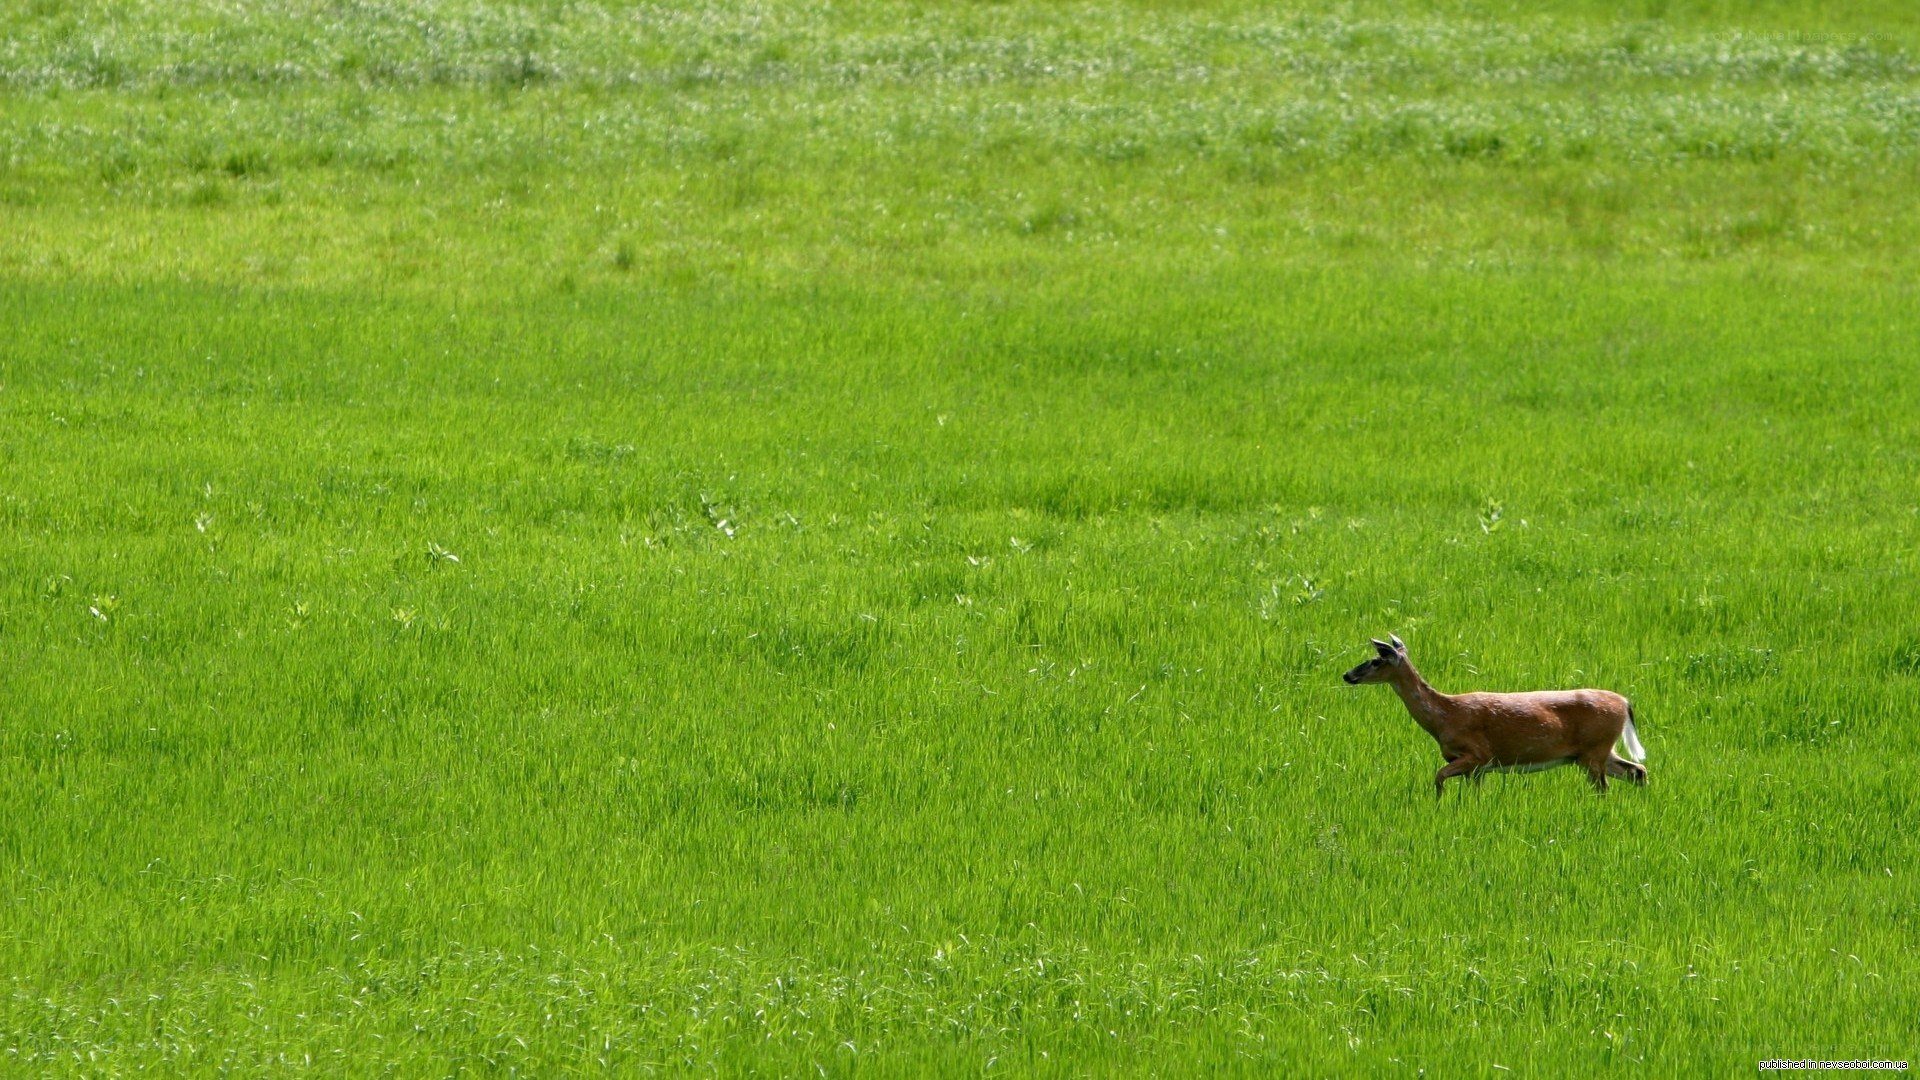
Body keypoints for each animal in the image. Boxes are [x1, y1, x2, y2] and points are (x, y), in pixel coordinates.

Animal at [1342, 634, 1647, 796]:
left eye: (1375, 661)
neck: (1444, 718)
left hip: (1593, 750)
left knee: (1606, 786)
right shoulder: (1476, 767)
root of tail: (1624, 702)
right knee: (1637, 770)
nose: (1347, 675)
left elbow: (1438, 777)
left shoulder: (1477, 754)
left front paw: (1438, 804)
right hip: (1596, 751)